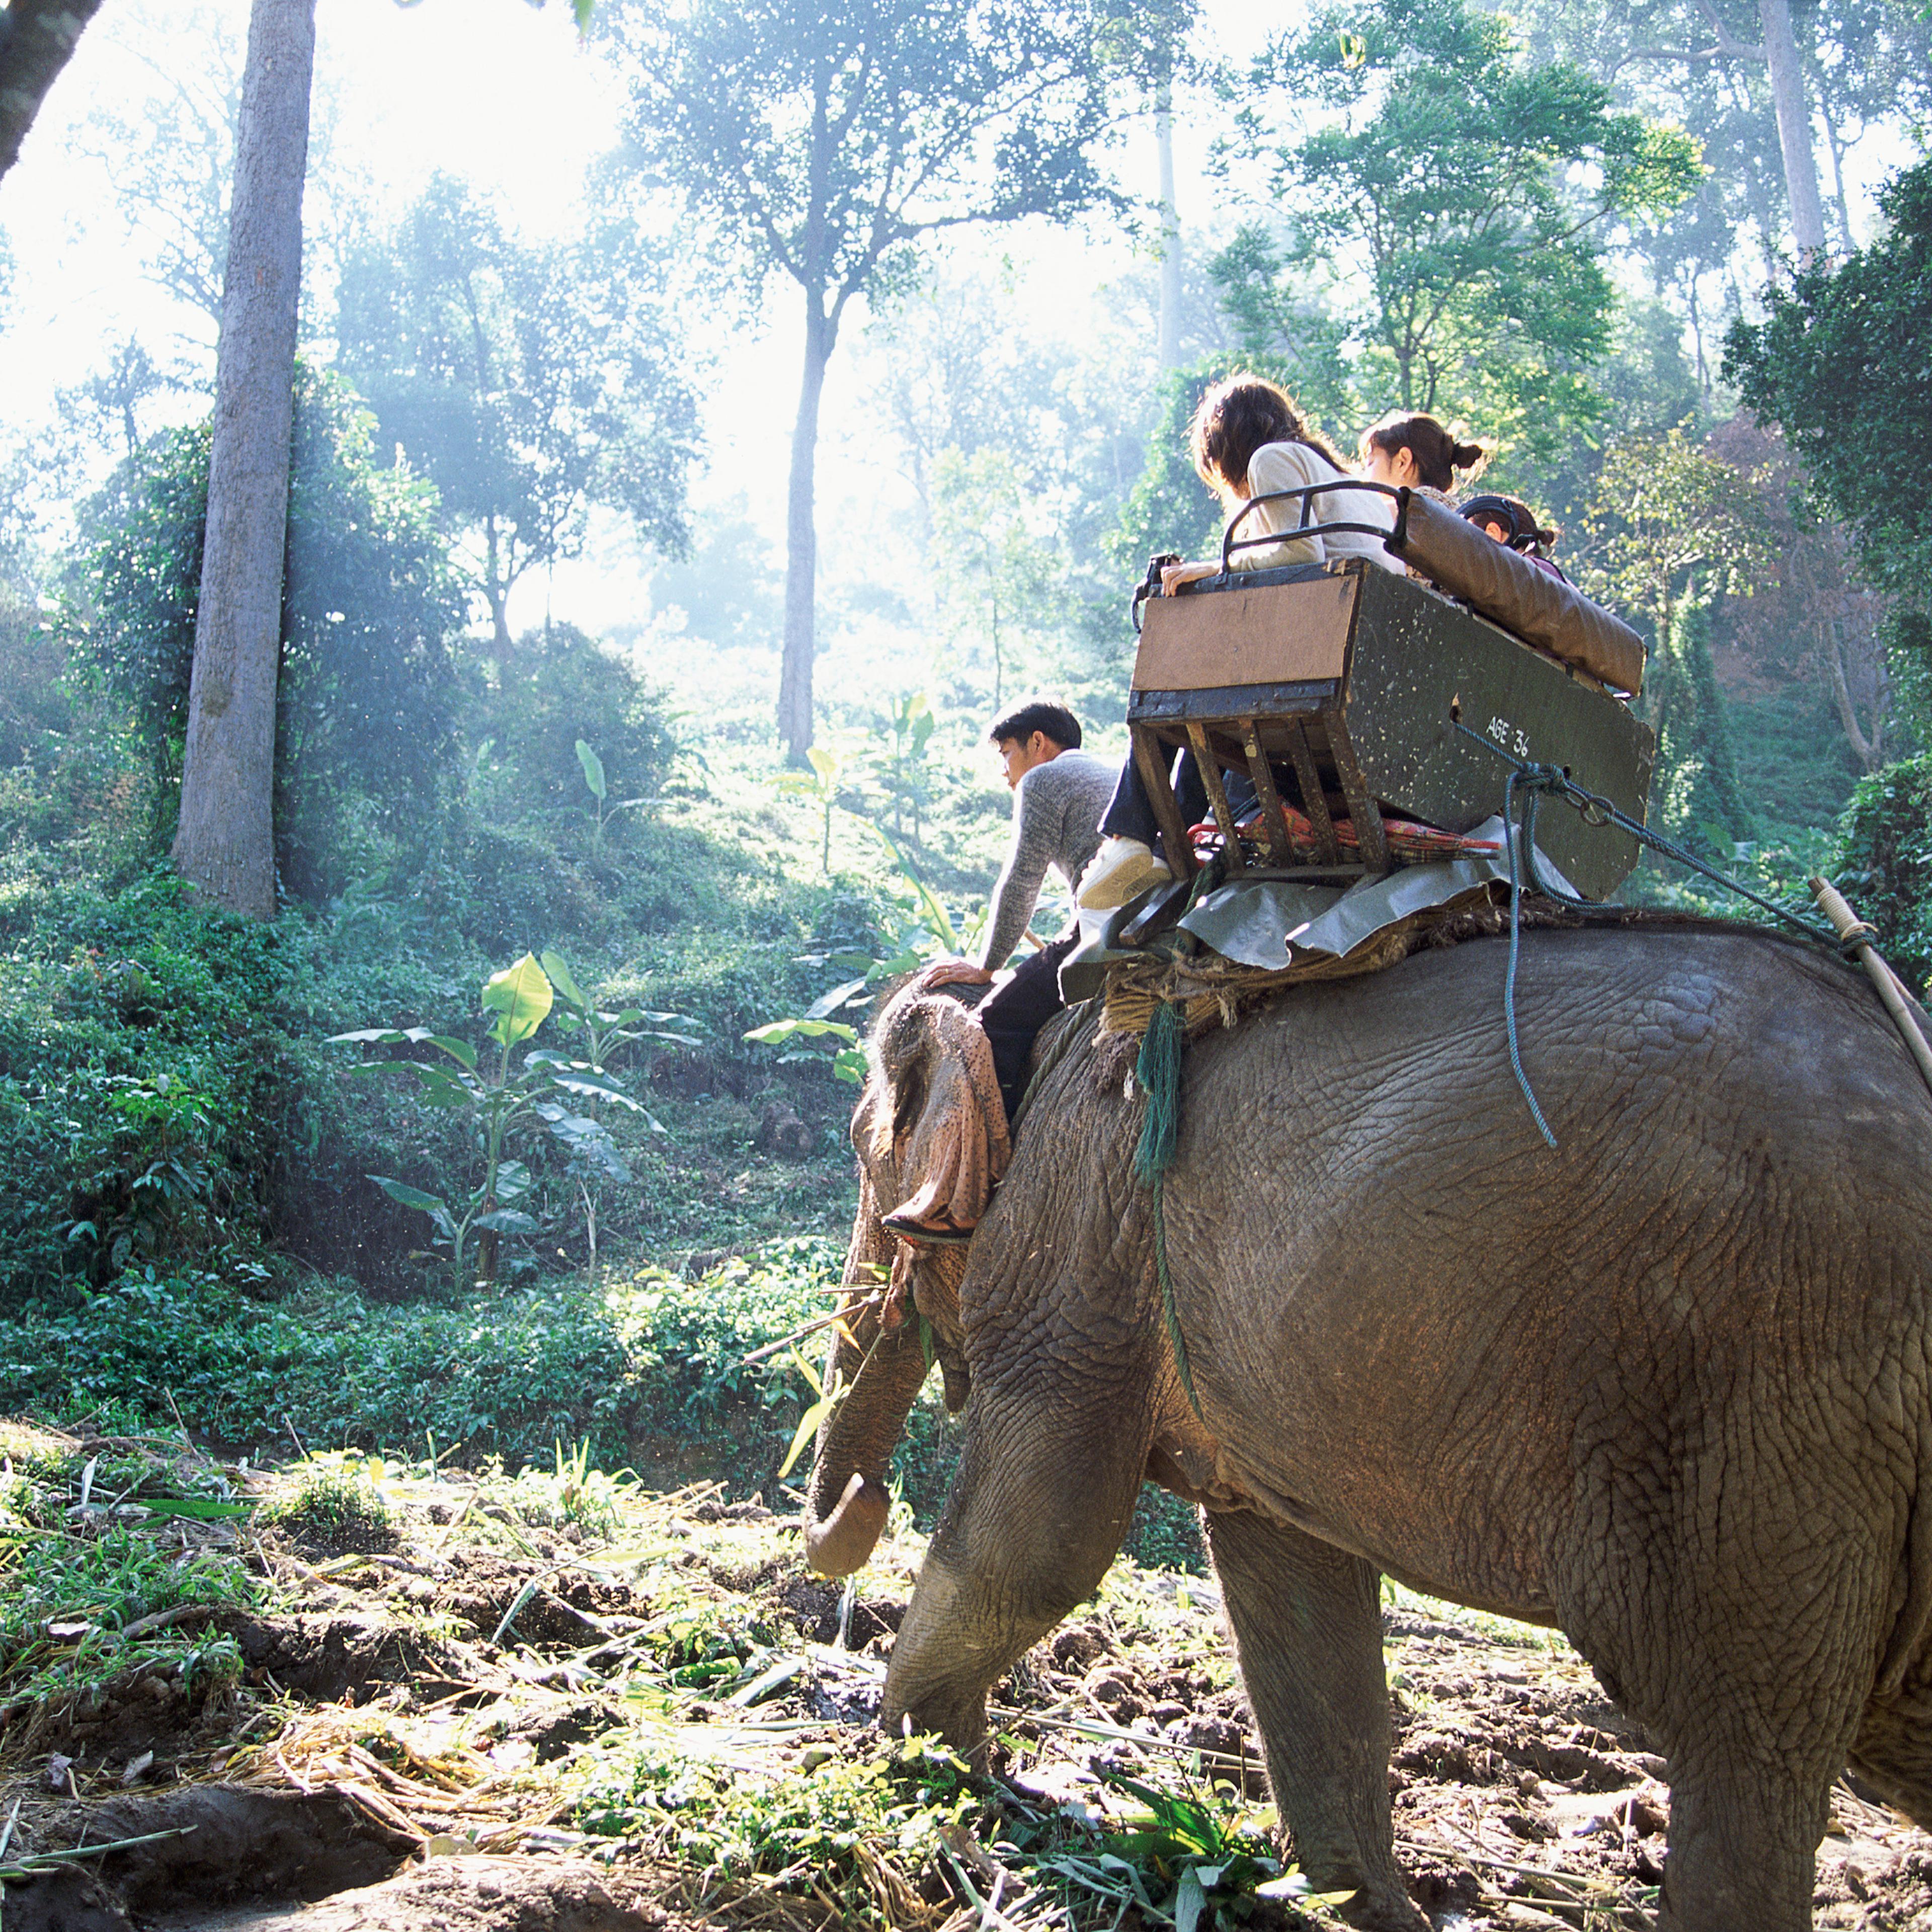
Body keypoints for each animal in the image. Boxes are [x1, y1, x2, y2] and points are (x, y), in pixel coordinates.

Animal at [801, 920, 1932, 1932]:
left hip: (1766, 1397)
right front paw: (1357, 1909)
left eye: (861, 1151)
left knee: (1743, 1739)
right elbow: (1293, 1597)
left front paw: (922, 1768)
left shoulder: (1078, 1232)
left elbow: (1039, 1544)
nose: (855, 1503)